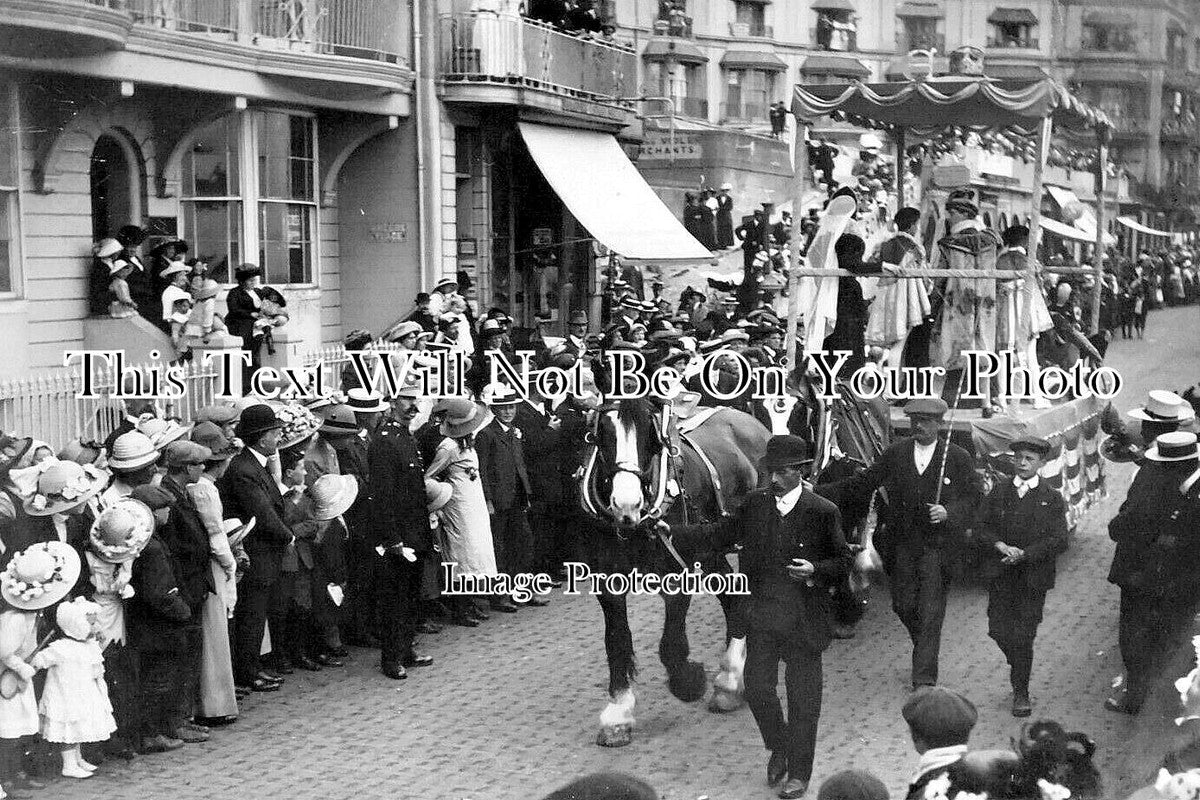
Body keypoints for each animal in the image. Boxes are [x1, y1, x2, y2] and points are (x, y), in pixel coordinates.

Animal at [573, 391, 768, 748]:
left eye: (650, 432)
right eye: (602, 432)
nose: (627, 504)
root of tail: (749, 421)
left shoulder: (677, 571)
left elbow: (671, 643)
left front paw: (688, 681)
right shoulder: (606, 580)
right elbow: (616, 639)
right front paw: (618, 714)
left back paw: (730, 680)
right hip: (712, 547)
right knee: (734, 599)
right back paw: (731, 681)